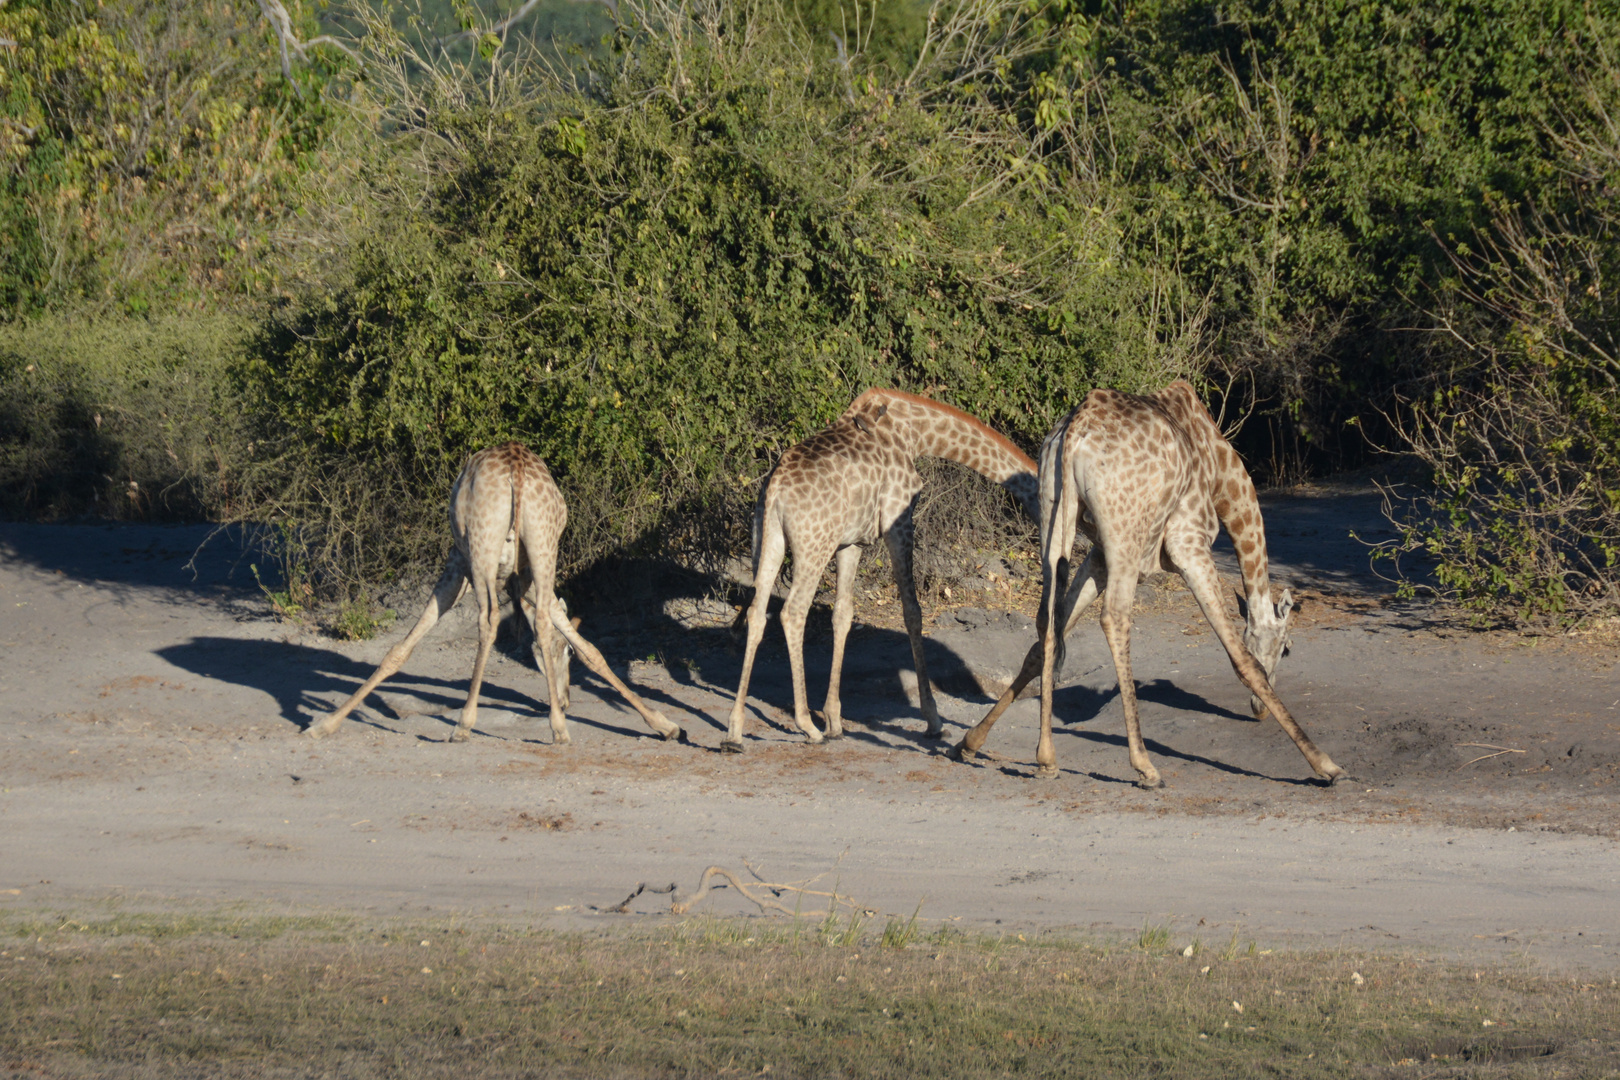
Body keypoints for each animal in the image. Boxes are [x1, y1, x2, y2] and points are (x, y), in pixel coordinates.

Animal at [306, 443, 680, 748]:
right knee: (540, 620)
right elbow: (591, 650)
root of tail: (516, 468)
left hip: (483, 548)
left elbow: (402, 647)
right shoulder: (524, 578)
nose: (566, 699)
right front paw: (664, 724)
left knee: (487, 621)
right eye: (566, 654)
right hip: (544, 544)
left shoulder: (459, 563)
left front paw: (324, 724)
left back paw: (464, 725)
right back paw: (559, 728)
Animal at [722, 386, 1036, 751]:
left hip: (768, 539)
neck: (915, 433)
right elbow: (912, 612)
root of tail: (775, 491)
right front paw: (933, 720)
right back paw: (806, 726)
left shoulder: (851, 542)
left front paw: (835, 719)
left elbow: (843, 614)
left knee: (757, 613)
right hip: (813, 547)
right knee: (792, 612)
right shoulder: (898, 520)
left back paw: (734, 731)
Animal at [946, 383, 1341, 790]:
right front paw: (1324, 764)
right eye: (1287, 649)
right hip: (1127, 533)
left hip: (1056, 517)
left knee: (1045, 619)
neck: (1222, 475)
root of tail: (1074, 434)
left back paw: (1046, 759)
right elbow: (1242, 658)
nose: (1258, 711)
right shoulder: (1189, 544)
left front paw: (971, 742)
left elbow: (1042, 645)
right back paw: (1145, 766)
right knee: (1114, 617)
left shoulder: (1099, 556)